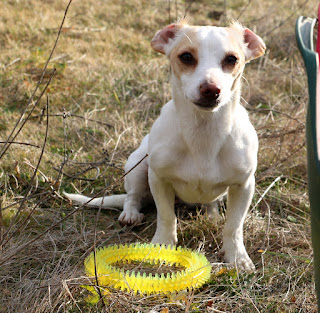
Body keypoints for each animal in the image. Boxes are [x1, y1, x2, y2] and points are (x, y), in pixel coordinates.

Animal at [65, 21, 264, 270]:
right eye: (186, 56)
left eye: (232, 59)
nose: (211, 89)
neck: (203, 132)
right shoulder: (158, 179)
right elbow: (167, 216)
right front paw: (162, 244)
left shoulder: (244, 186)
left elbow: (234, 226)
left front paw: (236, 256)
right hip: (137, 166)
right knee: (132, 196)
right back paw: (131, 214)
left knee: (211, 204)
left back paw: (212, 215)